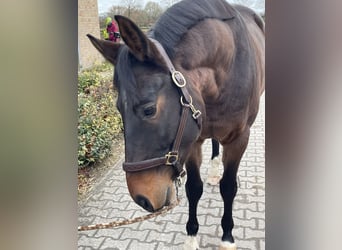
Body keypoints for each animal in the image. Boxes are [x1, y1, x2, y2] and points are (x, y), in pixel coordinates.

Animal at [87, 0, 264, 249]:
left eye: (149, 109)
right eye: (118, 109)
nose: (142, 198)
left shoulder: (239, 139)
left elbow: (228, 188)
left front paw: (227, 237)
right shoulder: (192, 140)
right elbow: (193, 188)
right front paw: (191, 237)